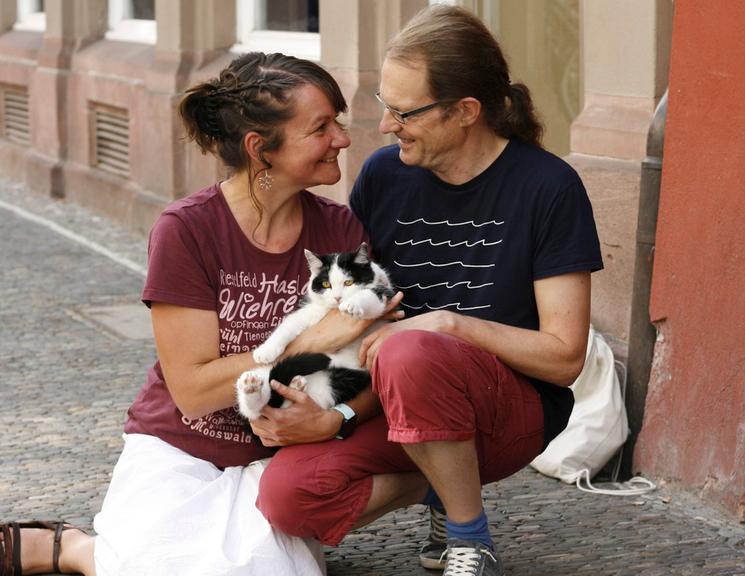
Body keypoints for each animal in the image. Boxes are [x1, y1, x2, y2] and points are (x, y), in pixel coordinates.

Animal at [237, 241, 396, 420]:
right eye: (326, 284)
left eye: (348, 283)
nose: (338, 298)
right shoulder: (311, 310)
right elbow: (288, 324)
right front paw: (266, 350)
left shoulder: (385, 294)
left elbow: (369, 296)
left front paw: (352, 304)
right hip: (267, 374)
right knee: (256, 408)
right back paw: (252, 387)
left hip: (339, 383)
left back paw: (294, 385)